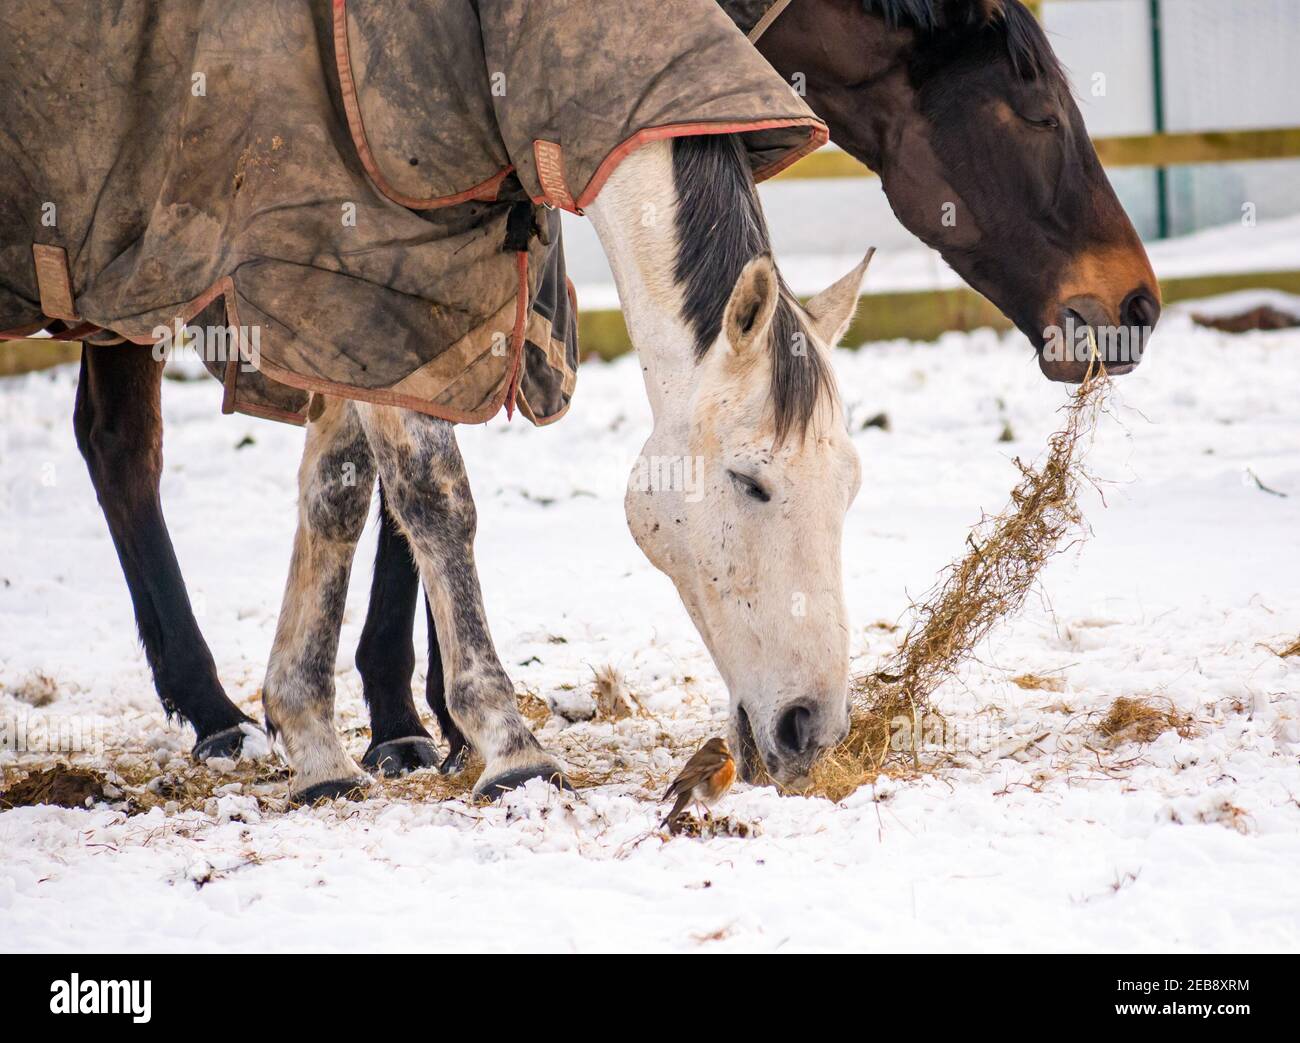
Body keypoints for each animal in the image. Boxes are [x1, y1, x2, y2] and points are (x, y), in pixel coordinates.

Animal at [68, 0, 1159, 764]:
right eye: (1039, 112)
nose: (1137, 305)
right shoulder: (365, 261)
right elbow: (421, 491)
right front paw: (463, 734)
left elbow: (361, 487)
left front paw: (384, 725)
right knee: (121, 452)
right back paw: (212, 712)